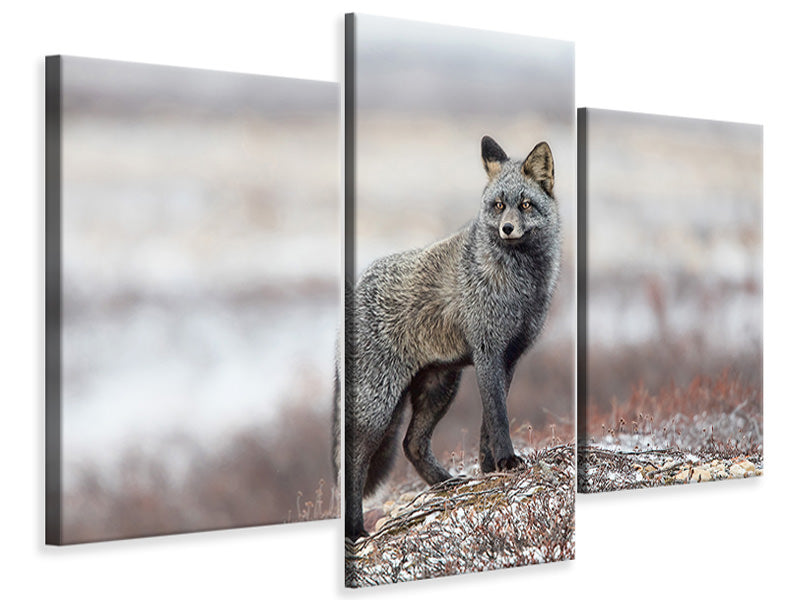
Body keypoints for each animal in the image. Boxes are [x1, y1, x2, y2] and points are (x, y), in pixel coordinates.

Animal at [335, 136, 561, 541]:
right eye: (498, 205)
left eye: (525, 204)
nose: (507, 229)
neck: (519, 285)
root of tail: (357, 287)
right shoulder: (487, 352)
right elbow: (499, 417)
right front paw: (507, 460)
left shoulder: (510, 357)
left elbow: (490, 420)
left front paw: (491, 467)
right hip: (378, 407)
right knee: (356, 461)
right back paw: (356, 530)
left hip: (440, 388)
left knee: (411, 445)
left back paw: (446, 483)